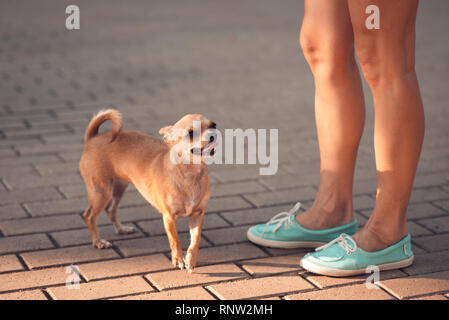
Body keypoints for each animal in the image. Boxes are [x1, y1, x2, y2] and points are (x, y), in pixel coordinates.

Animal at [79, 109, 216, 272]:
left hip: (118, 189)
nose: (213, 134)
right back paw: (98, 242)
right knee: (89, 216)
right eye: (191, 133)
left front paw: (191, 259)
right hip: (101, 192)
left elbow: (195, 240)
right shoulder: (169, 217)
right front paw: (178, 259)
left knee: (110, 210)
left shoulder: (197, 215)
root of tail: (93, 138)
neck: (190, 174)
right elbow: (174, 239)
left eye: (213, 125)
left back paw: (121, 229)